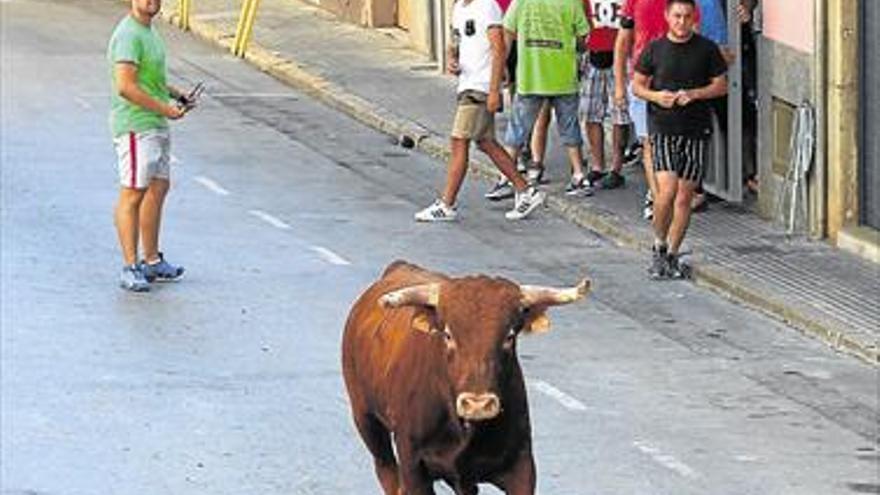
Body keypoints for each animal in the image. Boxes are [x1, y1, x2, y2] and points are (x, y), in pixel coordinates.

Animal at [340, 262, 588, 494]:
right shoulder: (413, 467)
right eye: (448, 335)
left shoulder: (522, 466)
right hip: (365, 419)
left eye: (509, 336)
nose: (478, 404)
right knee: (385, 468)